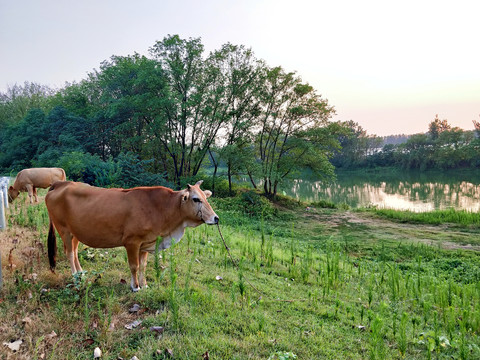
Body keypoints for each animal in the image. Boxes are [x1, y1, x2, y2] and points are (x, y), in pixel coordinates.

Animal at [46, 181, 218, 292]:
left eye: (206, 198)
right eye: (196, 199)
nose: (215, 218)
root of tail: (61, 183)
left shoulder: (146, 243)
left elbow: (143, 265)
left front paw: (145, 284)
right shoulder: (132, 242)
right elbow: (134, 266)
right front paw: (135, 286)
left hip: (75, 232)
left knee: (74, 252)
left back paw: (81, 273)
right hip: (64, 230)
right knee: (69, 253)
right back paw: (75, 276)